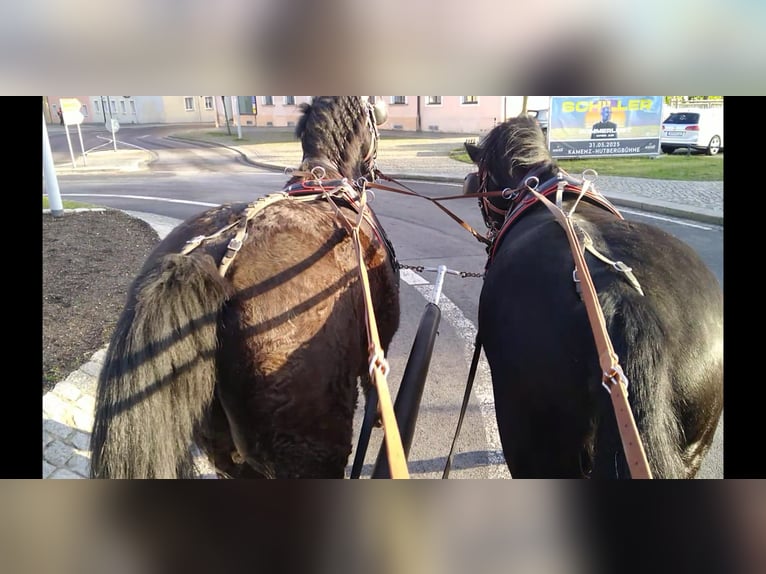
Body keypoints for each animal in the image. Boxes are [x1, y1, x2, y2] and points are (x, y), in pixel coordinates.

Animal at [90, 97, 402, 480]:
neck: (325, 182)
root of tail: (208, 264)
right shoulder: (380, 336)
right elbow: (374, 387)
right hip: (312, 446)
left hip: (225, 447)